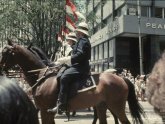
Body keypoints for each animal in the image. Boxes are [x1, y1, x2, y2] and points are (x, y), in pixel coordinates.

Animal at [0, 40, 144, 123]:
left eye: (5, 52)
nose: (0, 69)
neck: (41, 76)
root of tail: (121, 78)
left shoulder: (45, 111)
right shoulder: (45, 112)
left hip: (116, 107)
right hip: (102, 106)